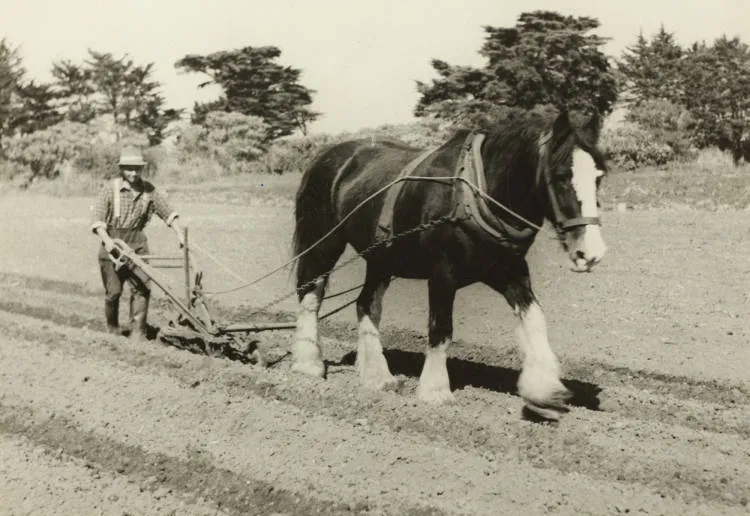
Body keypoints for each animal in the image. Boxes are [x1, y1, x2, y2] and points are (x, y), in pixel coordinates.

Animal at [290, 109, 608, 420]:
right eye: (562, 175)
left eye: (598, 177)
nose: (591, 253)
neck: (475, 193)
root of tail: (327, 154)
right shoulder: (443, 273)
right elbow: (441, 327)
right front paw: (435, 391)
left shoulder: (508, 270)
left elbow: (534, 318)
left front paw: (544, 390)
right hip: (323, 242)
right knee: (310, 295)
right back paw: (308, 363)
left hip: (381, 257)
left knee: (366, 304)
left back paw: (377, 376)